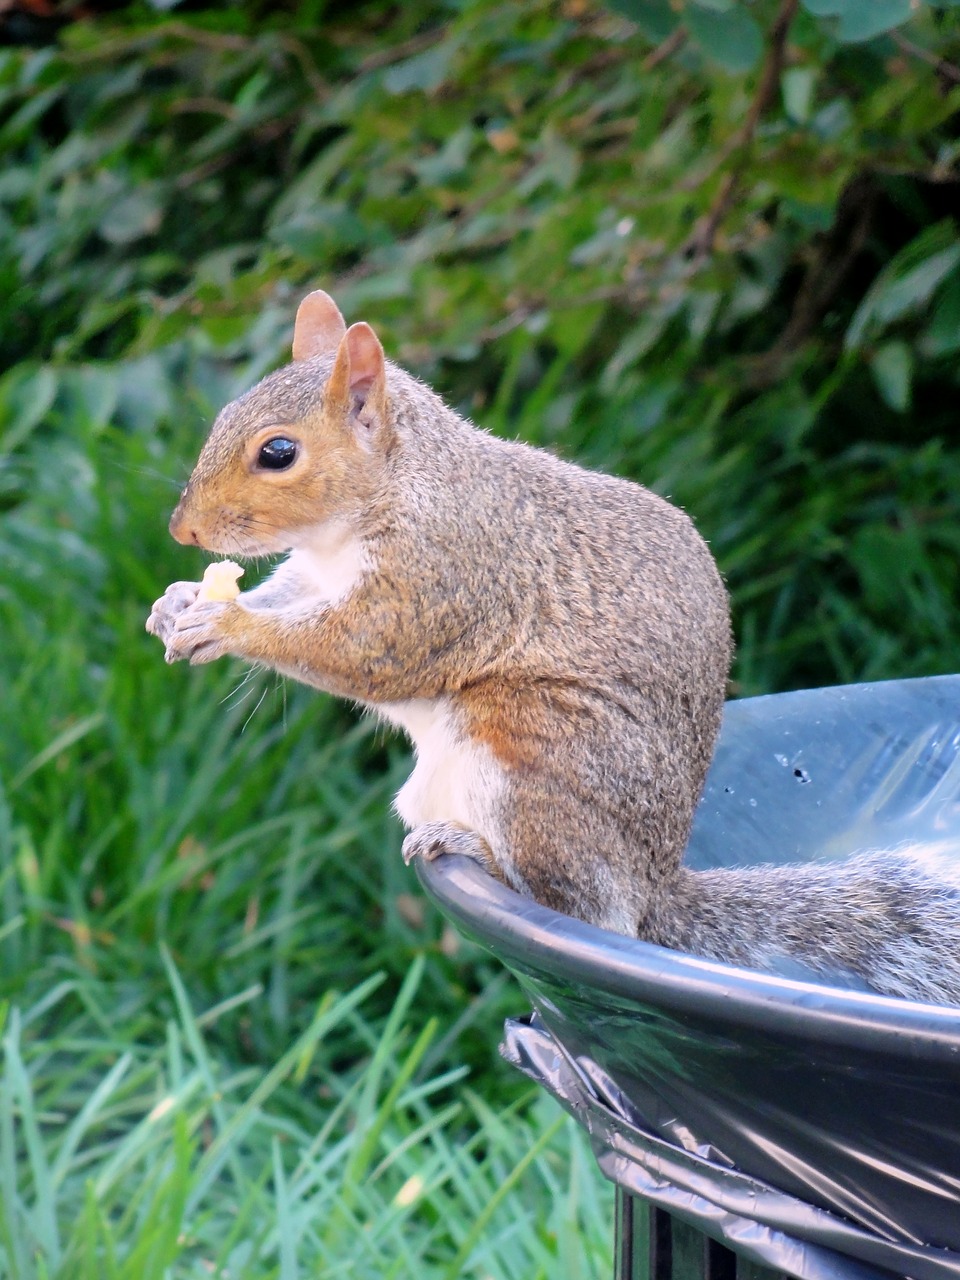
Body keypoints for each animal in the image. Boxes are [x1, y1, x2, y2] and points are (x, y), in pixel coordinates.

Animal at [146, 290, 960, 1008]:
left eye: (278, 452)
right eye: (223, 417)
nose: (182, 531)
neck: (381, 500)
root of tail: (651, 883)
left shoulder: (442, 578)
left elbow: (364, 651)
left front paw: (229, 627)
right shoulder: (314, 574)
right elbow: (283, 598)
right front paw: (181, 604)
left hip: (530, 745)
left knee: (578, 907)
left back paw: (478, 853)